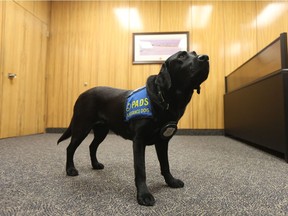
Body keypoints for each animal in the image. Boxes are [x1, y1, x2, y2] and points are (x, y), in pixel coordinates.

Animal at [57, 50, 209, 206]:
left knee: (92, 146)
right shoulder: (139, 141)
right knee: (70, 148)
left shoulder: (162, 141)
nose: (205, 57)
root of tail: (82, 94)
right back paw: (70, 170)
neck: (166, 100)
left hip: (101, 131)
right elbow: (140, 169)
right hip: (81, 127)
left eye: (194, 53)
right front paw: (144, 195)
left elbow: (165, 164)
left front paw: (171, 181)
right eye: (181, 56)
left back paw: (95, 164)